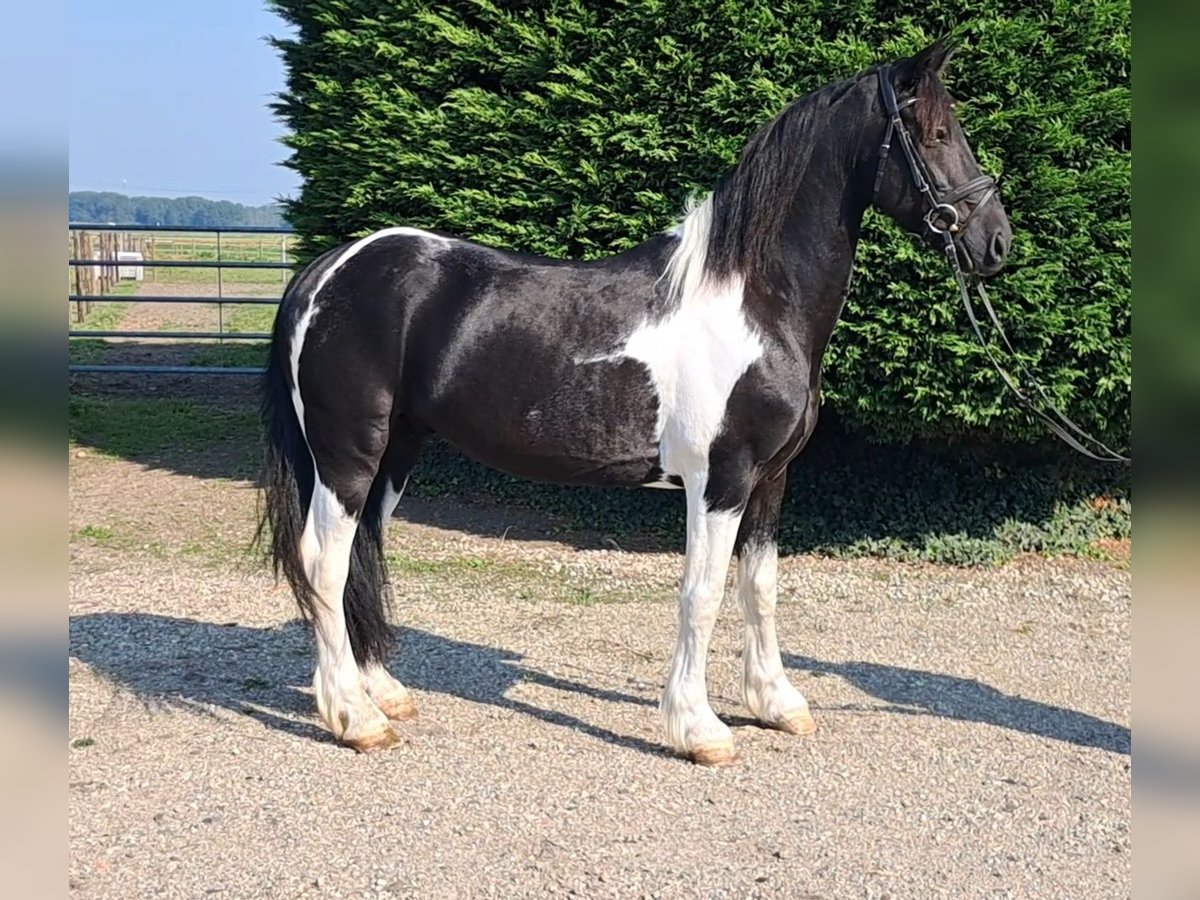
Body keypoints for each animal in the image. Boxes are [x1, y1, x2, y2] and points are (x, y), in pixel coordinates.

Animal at [262, 37, 1012, 768]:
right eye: (936, 132)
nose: (996, 242)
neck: (756, 302)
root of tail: (327, 270)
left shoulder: (771, 479)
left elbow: (760, 587)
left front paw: (776, 703)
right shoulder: (722, 479)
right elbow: (702, 595)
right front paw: (699, 729)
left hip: (398, 450)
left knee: (361, 551)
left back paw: (381, 693)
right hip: (348, 454)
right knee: (324, 562)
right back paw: (354, 718)